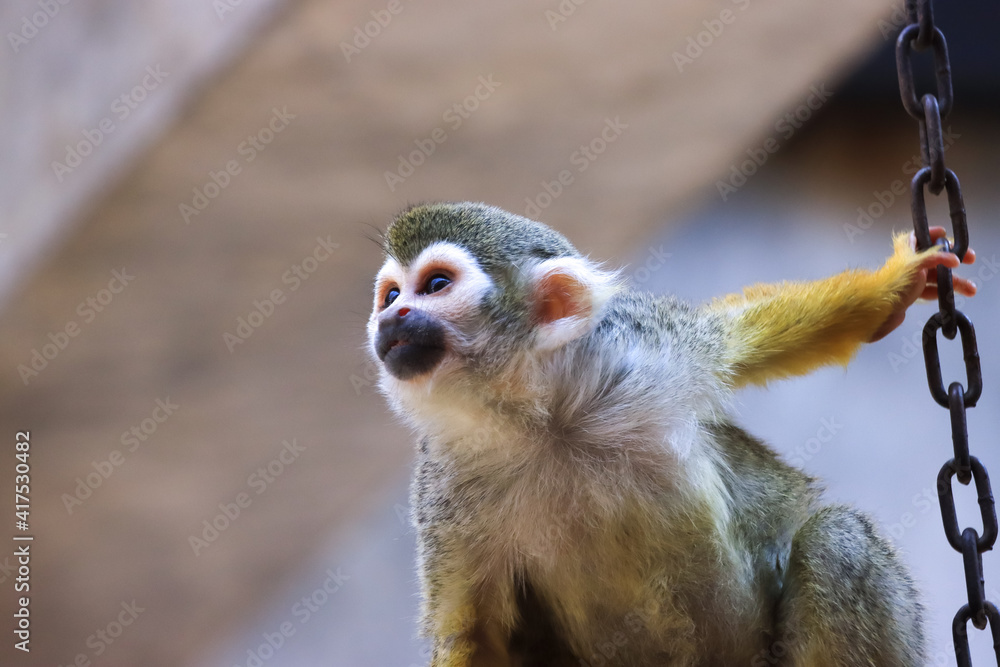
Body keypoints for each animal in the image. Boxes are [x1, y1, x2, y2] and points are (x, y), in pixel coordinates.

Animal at [366, 202, 977, 666]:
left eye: (435, 285)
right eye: (391, 295)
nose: (390, 319)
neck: (547, 421)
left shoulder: (649, 351)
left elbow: (738, 340)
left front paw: (898, 281)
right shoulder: (444, 491)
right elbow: (474, 630)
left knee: (838, 537)